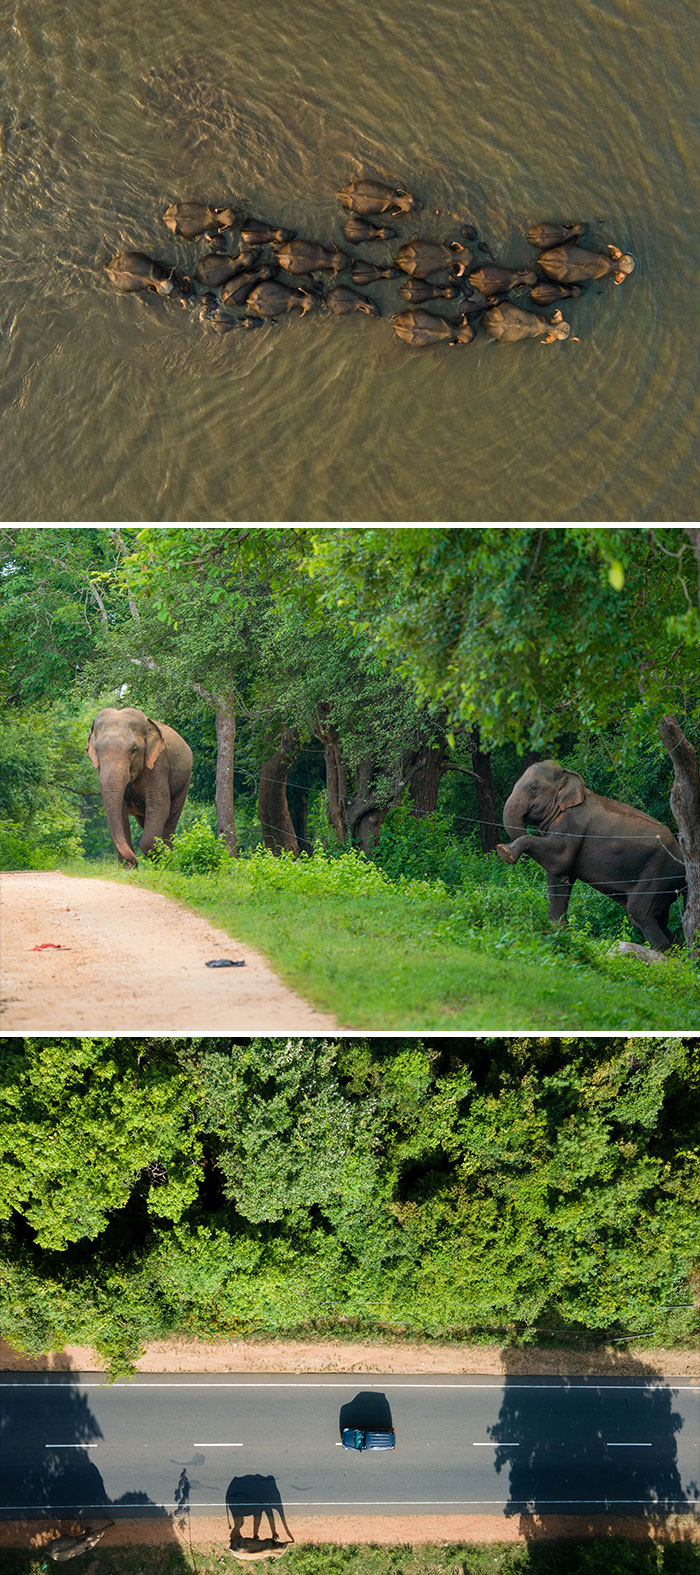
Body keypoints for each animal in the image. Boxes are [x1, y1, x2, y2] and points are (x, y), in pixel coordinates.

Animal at [87, 707, 192, 867]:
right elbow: (120, 810)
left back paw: (168, 860)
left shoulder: (158, 764)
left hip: (184, 782)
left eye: (134, 750)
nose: (135, 861)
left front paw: (163, 859)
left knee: (171, 818)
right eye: (97, 751)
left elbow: (159, 803)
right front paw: (128, 868)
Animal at [496, 760, 686, 951]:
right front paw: (557, 930)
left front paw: (504, 851)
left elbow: (559, 859)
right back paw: (678, 949)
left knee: (639, 911)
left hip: (659, 872)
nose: (504, 847)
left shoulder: (571, 824)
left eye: (533, 788)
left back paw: (663, 952)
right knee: (657, 918)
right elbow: (556, 880)